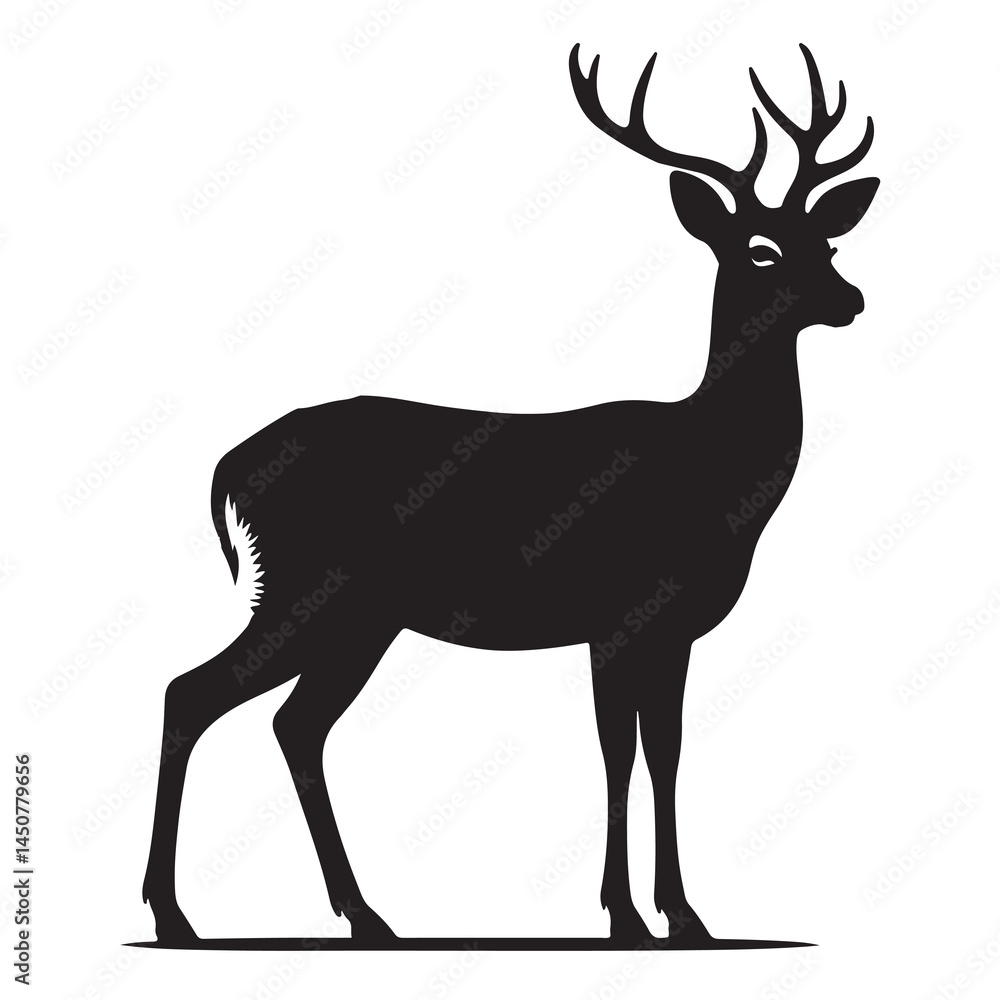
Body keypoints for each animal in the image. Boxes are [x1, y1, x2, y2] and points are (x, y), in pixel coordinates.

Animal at [141, 42, 878, 947]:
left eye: (829, 242)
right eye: (762, 249)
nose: (851, 299)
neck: (709, 473)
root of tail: (228, 468)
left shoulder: (671, 631)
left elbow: (665, 754)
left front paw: (685, 916)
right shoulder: (618, 612)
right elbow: (618, 754)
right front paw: (627, 915)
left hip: (358, 615)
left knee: (292, 724)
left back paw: (364, 915)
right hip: (310, 588)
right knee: (193, 693)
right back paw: (175, 914)